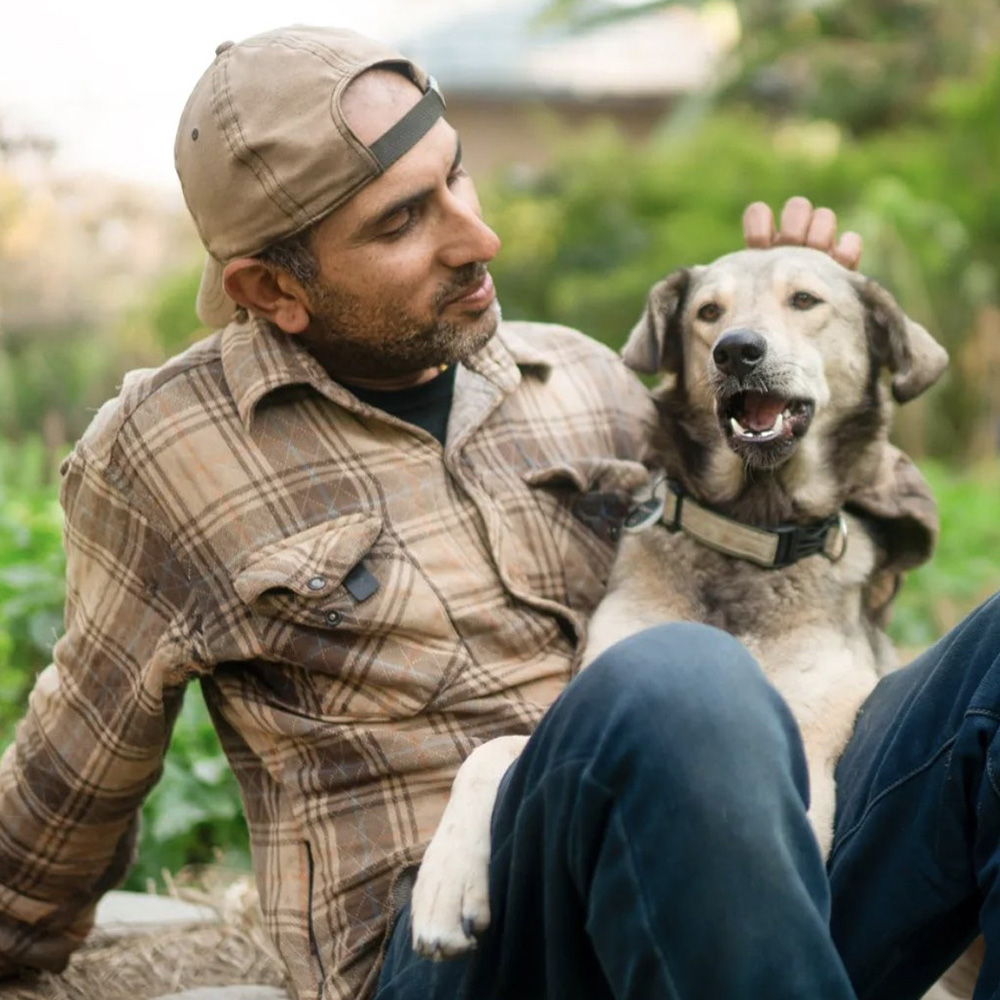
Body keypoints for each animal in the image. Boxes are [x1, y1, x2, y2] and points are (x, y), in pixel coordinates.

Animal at [404, 242, 944, 960]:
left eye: (805, 300)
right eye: (707, 313)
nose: (736, 350)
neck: (749, 531)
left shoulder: (813, 717)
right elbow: (488, 751)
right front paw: (444, 886)